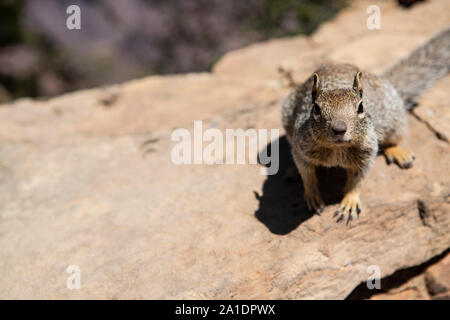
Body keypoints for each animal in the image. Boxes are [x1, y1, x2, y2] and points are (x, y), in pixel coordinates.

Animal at [284, 27, 448, 222]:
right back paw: (292, 171)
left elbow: (357, 181)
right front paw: (313, 196)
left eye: (361, 107)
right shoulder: (301, 147)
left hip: (395, 121)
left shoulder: (367, 154)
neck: (337, 149)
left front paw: (349, 203)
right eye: (316, 108)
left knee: (393, 140)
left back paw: (398, 153)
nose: (339, 129)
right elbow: (307, 175)